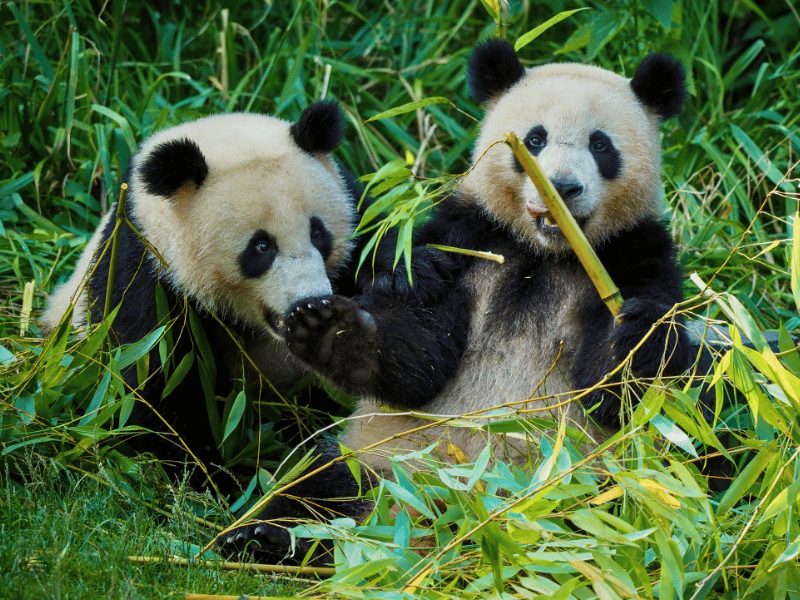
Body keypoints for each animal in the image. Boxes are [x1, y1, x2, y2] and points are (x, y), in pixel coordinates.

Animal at [42, 101, 359, 488]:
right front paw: (218, 478)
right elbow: (155, 386)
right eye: (261, 247)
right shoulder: (146, 268)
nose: (310, 305)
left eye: (318, 232)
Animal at [221, 42, 694, 562]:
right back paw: (263, 535)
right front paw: (332, 332)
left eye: (601, 145)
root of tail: (445, 518)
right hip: (383, 457)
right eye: (535, 140)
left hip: (588, 488)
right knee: (320, 489)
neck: (545, 252)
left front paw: (637, 335)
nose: (563, 187)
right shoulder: (463, 240)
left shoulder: (633, 254)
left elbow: (617, 392)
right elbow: (418, 355)